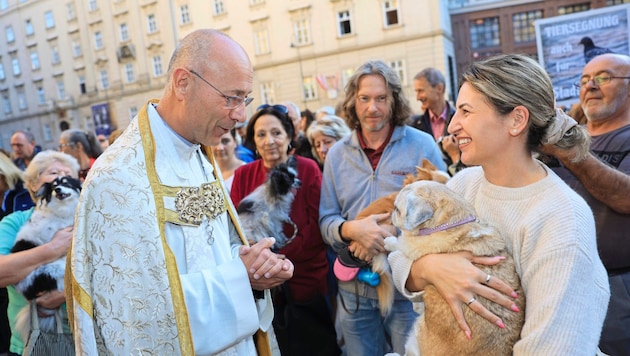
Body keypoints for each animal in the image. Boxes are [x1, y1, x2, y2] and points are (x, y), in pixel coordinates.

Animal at [388, 182, 524, 354]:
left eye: (397, 209)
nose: (391, 212)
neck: (449, 223)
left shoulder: (410, 247)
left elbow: (399, 244)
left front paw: (388, 241)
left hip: (415, 337)